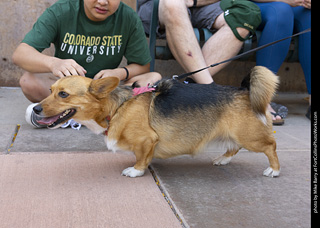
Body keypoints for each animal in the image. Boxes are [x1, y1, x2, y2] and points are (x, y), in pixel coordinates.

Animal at [33, 66, 280, 178]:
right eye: (50, 90)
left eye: (63, 94)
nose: (35, 109)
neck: (117, 107)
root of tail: (245, 90)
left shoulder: (147, 140)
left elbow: (141, 158)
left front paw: (135, 171)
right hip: (237, 135)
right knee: (233, 147)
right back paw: (222, 159)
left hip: (250, 137)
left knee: (271, 146)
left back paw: (274, 170)